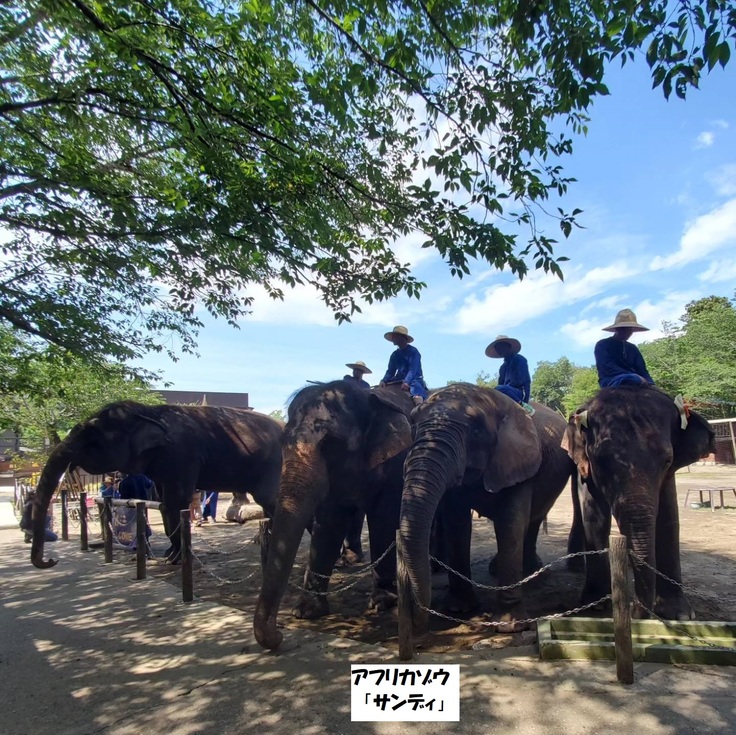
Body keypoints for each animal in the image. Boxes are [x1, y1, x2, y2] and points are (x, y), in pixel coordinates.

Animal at [28, 402, 282, 568]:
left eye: (92, 438)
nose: (51, 560)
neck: (149, 412)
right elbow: (163, 503)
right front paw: (170, 555)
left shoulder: (182, 454)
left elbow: (177, 501)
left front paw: (174, 559)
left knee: (269, 499)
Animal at [253, 380, 414, 648]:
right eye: (283, 441)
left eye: (330, 444)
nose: (279, 635)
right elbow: (328, 524)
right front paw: (306, 611)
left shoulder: (396, 463)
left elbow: (383, 519)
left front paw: (382, 602)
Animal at [396, 386, 576, 632]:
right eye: (413, 425)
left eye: (476, 430)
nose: (417, 620)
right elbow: (458, 525)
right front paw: (459, 609)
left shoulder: (518, 461)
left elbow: (510, 524)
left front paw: (509, 626)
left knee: (533, 520)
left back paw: (534, 573)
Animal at [564, 386, 712, 620]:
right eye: (601, 461)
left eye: (667, 460)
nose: (635, 611)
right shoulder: (586, 467)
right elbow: (595, 518)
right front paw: (595, 605)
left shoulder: (667, 476)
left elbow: (668, 519)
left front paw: (679, 615)